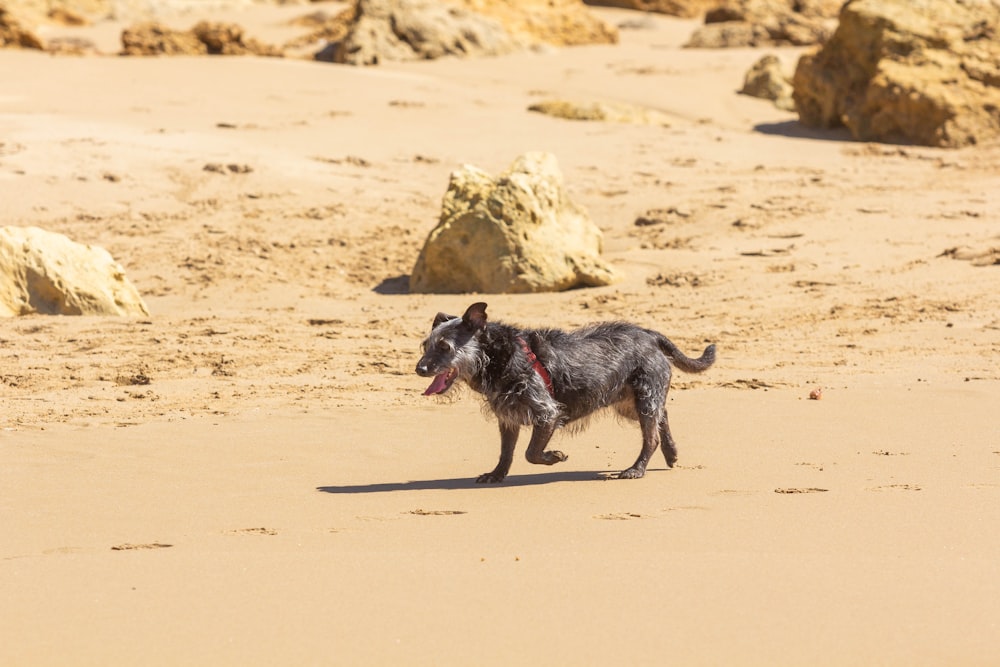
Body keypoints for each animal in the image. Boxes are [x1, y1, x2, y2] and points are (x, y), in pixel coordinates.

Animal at [416, 300, 720, 482]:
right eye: (425, 345)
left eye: (444, 347)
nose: (419, 369)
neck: (499, 355)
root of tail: (650, 334)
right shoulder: (508, 417)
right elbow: (507, 453)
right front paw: (496, 474)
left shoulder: (547, 412)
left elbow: (531, 453)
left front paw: (554, 457)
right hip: (629, 402)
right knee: (662, 417)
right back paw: (672, 453)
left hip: (643, 396)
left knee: (651, 436)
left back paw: (637, 469)